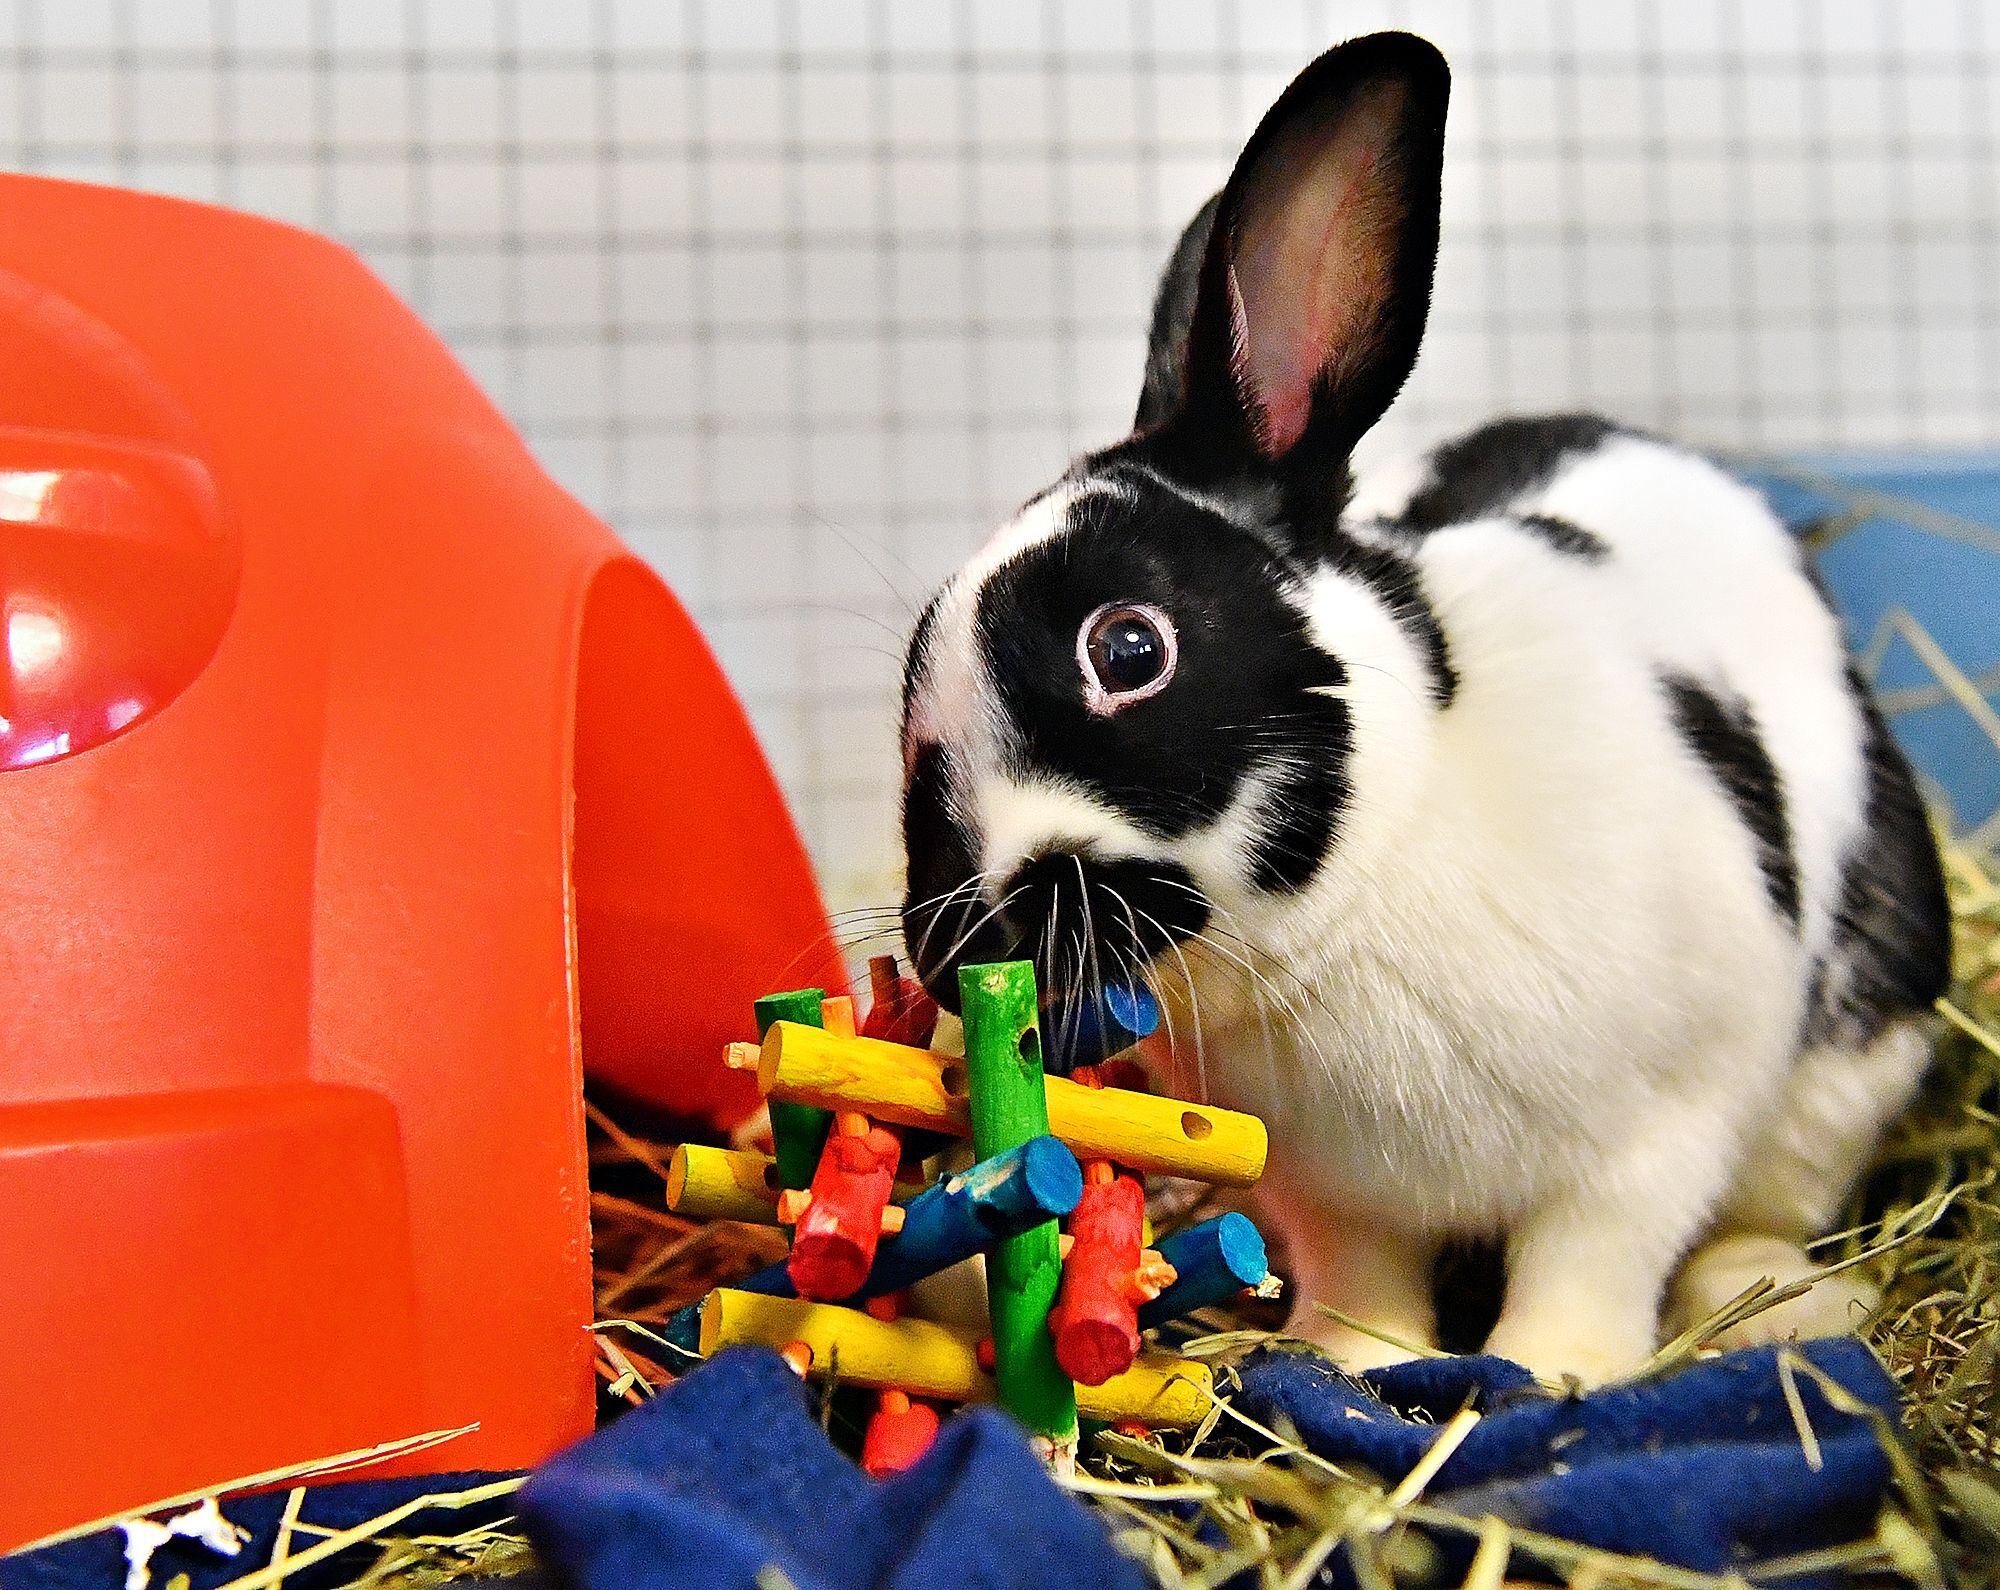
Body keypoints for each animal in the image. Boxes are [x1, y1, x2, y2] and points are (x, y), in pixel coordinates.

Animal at [900, 31, 1944, 1384]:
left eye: (1127, 648)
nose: (945, 952)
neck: (1348, 900)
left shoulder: (1657, 1134)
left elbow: (1593, 1258)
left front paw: (1559, 1372)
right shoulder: (1326, 1190)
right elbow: (1362, 1277)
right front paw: (1353, 1365)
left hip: (1838, 1079)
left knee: (1761, 1212)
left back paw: (1772, 1297)